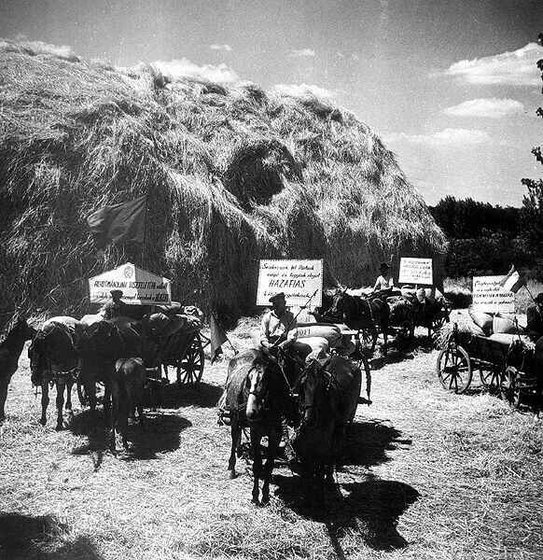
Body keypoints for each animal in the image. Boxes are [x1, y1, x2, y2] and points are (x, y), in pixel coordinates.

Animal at [221, 348, 298, 506]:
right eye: (249, 381)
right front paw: (255, 495)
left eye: (266, 380)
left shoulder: (276, 435)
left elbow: (269, 465)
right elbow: (257, 464)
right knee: (234, 436)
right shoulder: (255, 433)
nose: (250, 412)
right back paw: (232, 466)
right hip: (234, 417)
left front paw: (266, 495)